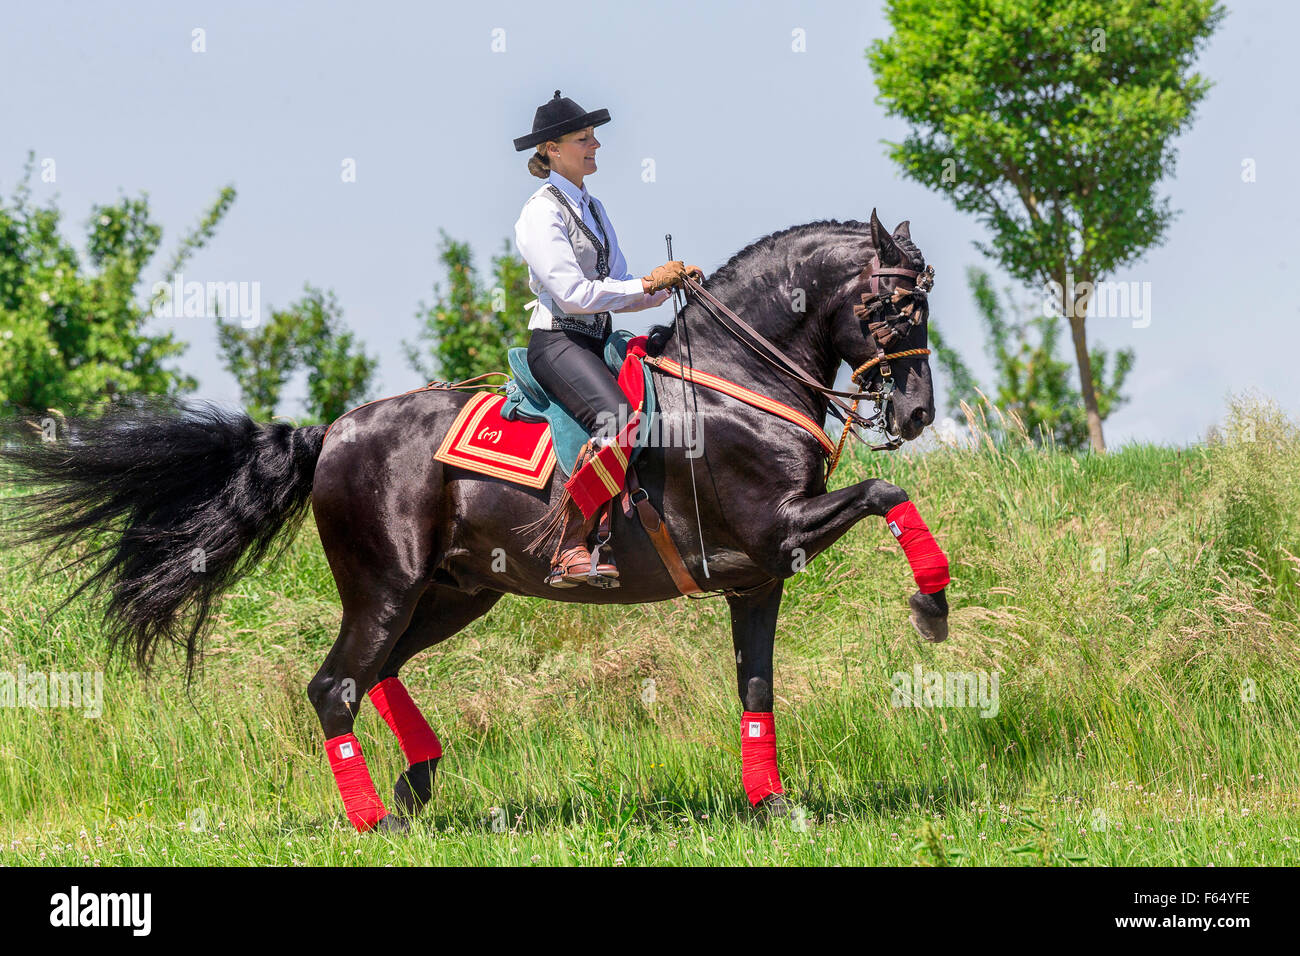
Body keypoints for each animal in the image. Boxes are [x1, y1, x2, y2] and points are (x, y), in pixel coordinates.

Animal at [2, 209, 956, 832]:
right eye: (897, 307)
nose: (914, 414)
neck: (735, 379)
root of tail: (331, 433)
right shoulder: (776, 529)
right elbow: (886, 494)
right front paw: (933, 605)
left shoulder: (757, 578)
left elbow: (756, 688)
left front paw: (774, 807)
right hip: (386, 584)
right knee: (334, 685)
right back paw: (376, 820)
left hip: (457, 592)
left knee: (376, 672)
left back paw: (418, 786)